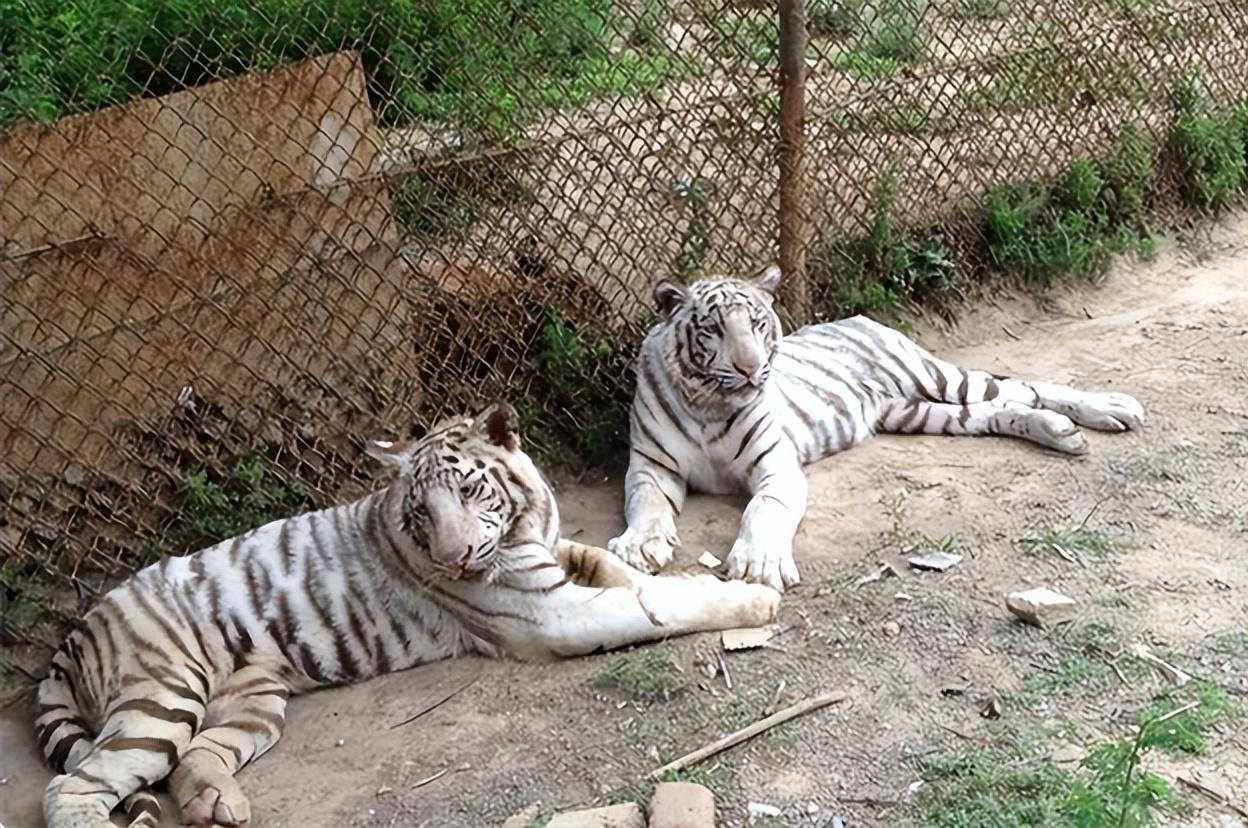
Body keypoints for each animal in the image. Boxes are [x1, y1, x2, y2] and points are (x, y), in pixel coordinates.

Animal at [36, 402, 779, 828]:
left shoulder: (556, 553)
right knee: (71, 790)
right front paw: (751, 599)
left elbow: (615, 567)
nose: (455, 560)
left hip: (252, 703)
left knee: (195, 758)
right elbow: (654, 601)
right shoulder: (549, 613)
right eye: (422, 511)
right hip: (161, 698)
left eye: (470, 490)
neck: (525, 526)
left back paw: (215, 806)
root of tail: (76, 632)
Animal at [608, 265, 1145, 592]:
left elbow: (764, 508)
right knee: (1004, 408)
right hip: (920, 412)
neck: (709, 404)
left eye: (758, 324)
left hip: (936, 377)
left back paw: (1112, 408)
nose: (751, 368)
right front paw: (638, 546)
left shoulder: (776, 465)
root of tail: (863, 317)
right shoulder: (650, 467)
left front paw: (759, 562)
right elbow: (646, 505)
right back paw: (1060, 431)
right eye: (713, 328)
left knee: (1024, 386)